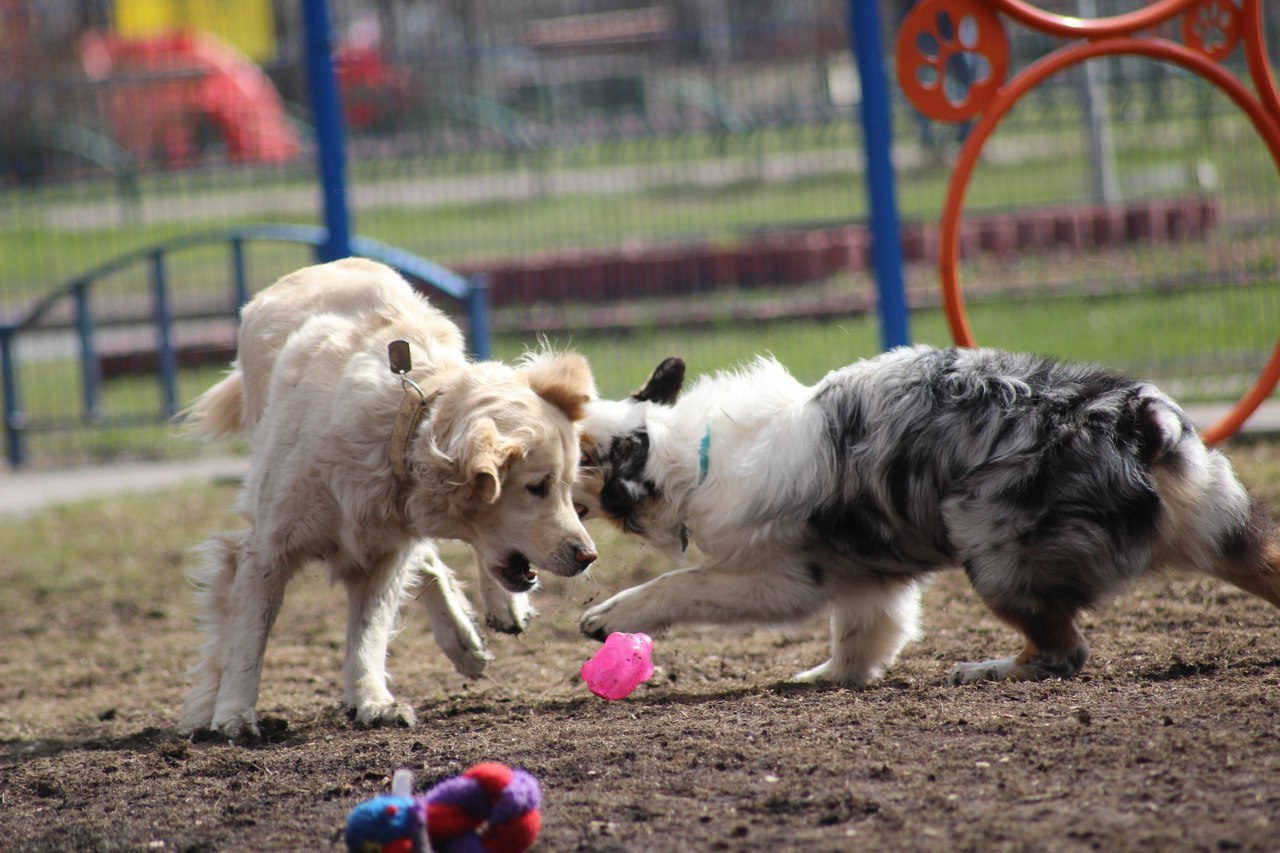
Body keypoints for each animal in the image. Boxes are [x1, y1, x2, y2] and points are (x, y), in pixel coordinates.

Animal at [177, 253, 596, 737]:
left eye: (566, 487)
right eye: (536, 487)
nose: (589, 556)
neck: (403, 426)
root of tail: (323, 265)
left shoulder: (384, 551)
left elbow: (369, 632)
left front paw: (372, 701)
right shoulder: (265, 550)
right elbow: (247, 637)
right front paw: (232, 713)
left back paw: (489, 617)